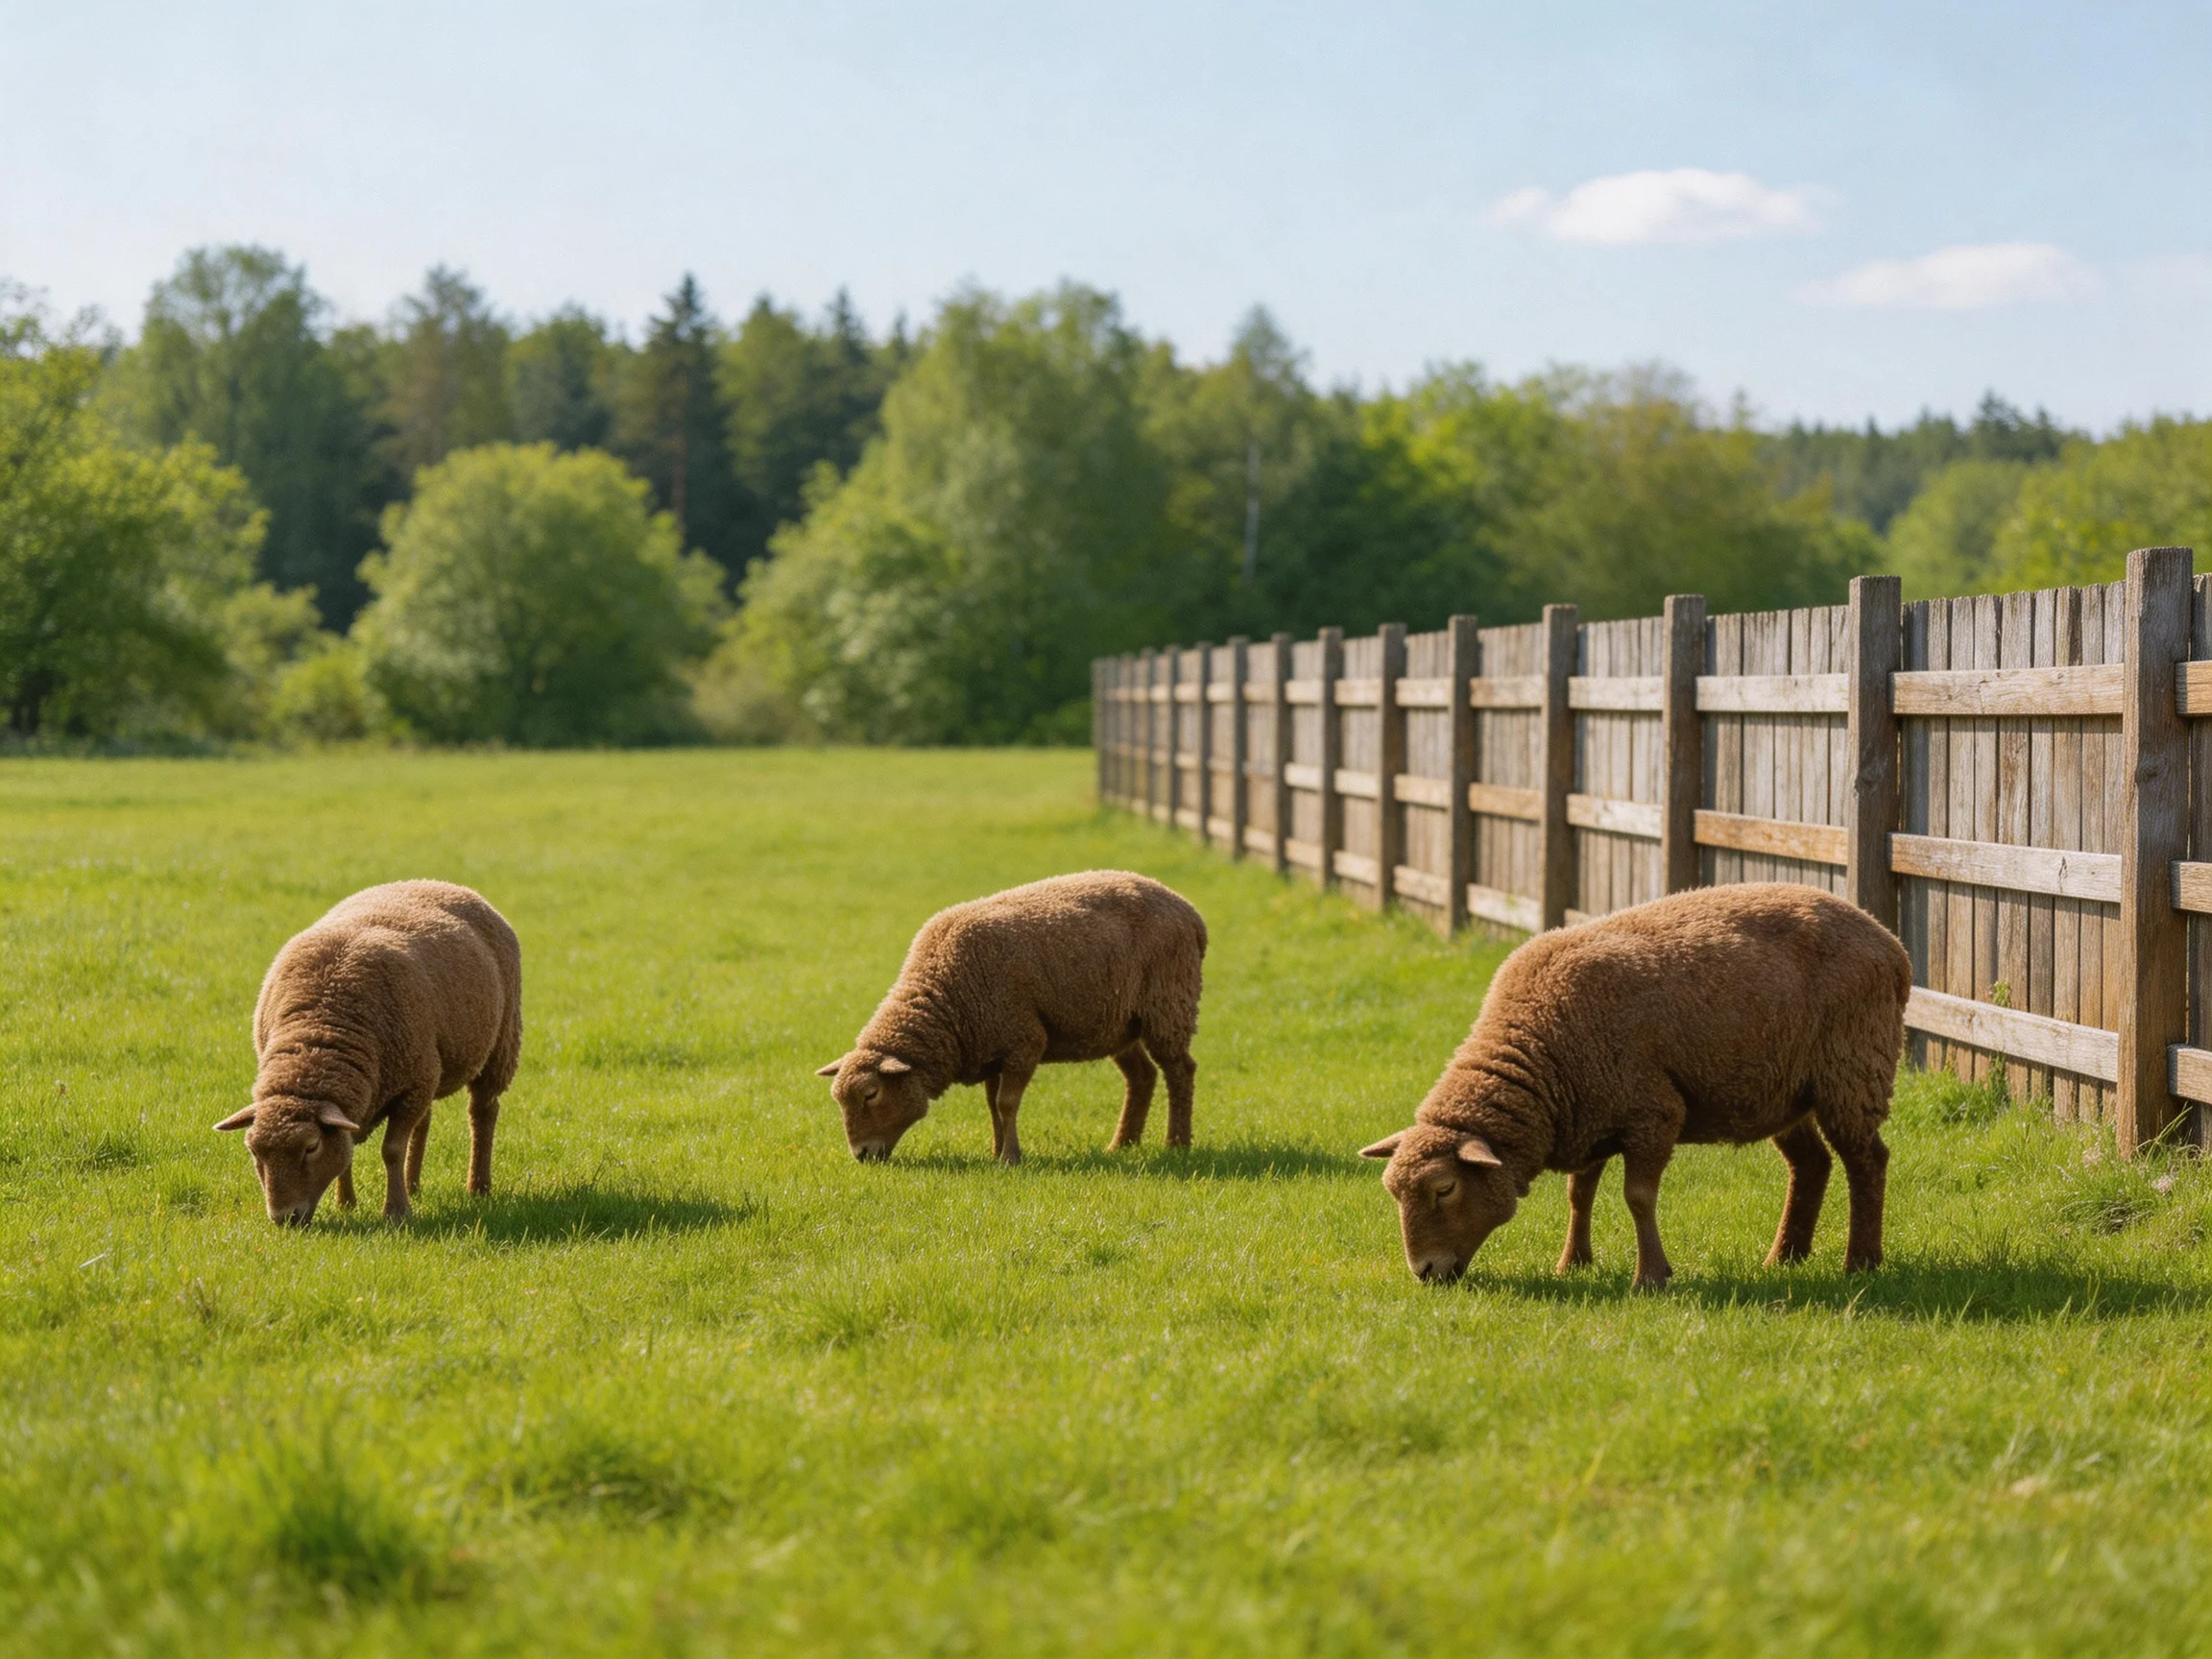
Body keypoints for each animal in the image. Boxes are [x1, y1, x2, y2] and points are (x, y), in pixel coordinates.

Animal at [215, 880, 522, 1225]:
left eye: (311, 1147)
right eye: (254, 1151)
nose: (285, 1218)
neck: (318, 1032)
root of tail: (439, 883)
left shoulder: (410, 1084)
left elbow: (392, 1150)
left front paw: (396, 1212)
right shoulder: (399, 1085)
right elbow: (347, 1148)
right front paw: (346, 1204)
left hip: (499, 1046)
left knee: (483, 1112)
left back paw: (478, 1186)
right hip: (428, 1067)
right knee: (424, 1121)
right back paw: (413, 1185)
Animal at [817, 870, 1206, 1164]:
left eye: (871, 1094)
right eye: (838, 1100)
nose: (861, 1155)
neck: (946, 996)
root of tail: (1187, 908)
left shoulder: (1025, 1041)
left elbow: (1007, 1103)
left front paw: (1010, 1158)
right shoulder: (990, 1047)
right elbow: (992, 1106)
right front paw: (996, 1150)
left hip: (1168, 1006)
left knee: (1180, 1071)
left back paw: (1177, 1144)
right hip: (1120, 1024)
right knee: (1142, 1076)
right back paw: (1122, 1144)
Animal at [1360, 883, 1908, 1288]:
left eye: (1444, 1188)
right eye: (1393, 1192)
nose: (1424, 1273)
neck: (1539, 1050)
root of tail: (1887, 940)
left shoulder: (1651, 1112)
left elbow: (1638, 1197)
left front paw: (1651, 1277)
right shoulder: (1589, 1113)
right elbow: (1579, 1194)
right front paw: (1573, 1262)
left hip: (1852, 1071)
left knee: (1867, 1161)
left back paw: (1861, 1262)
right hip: (1781, 1089)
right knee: (1810, 1164)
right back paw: (1784, 1257)